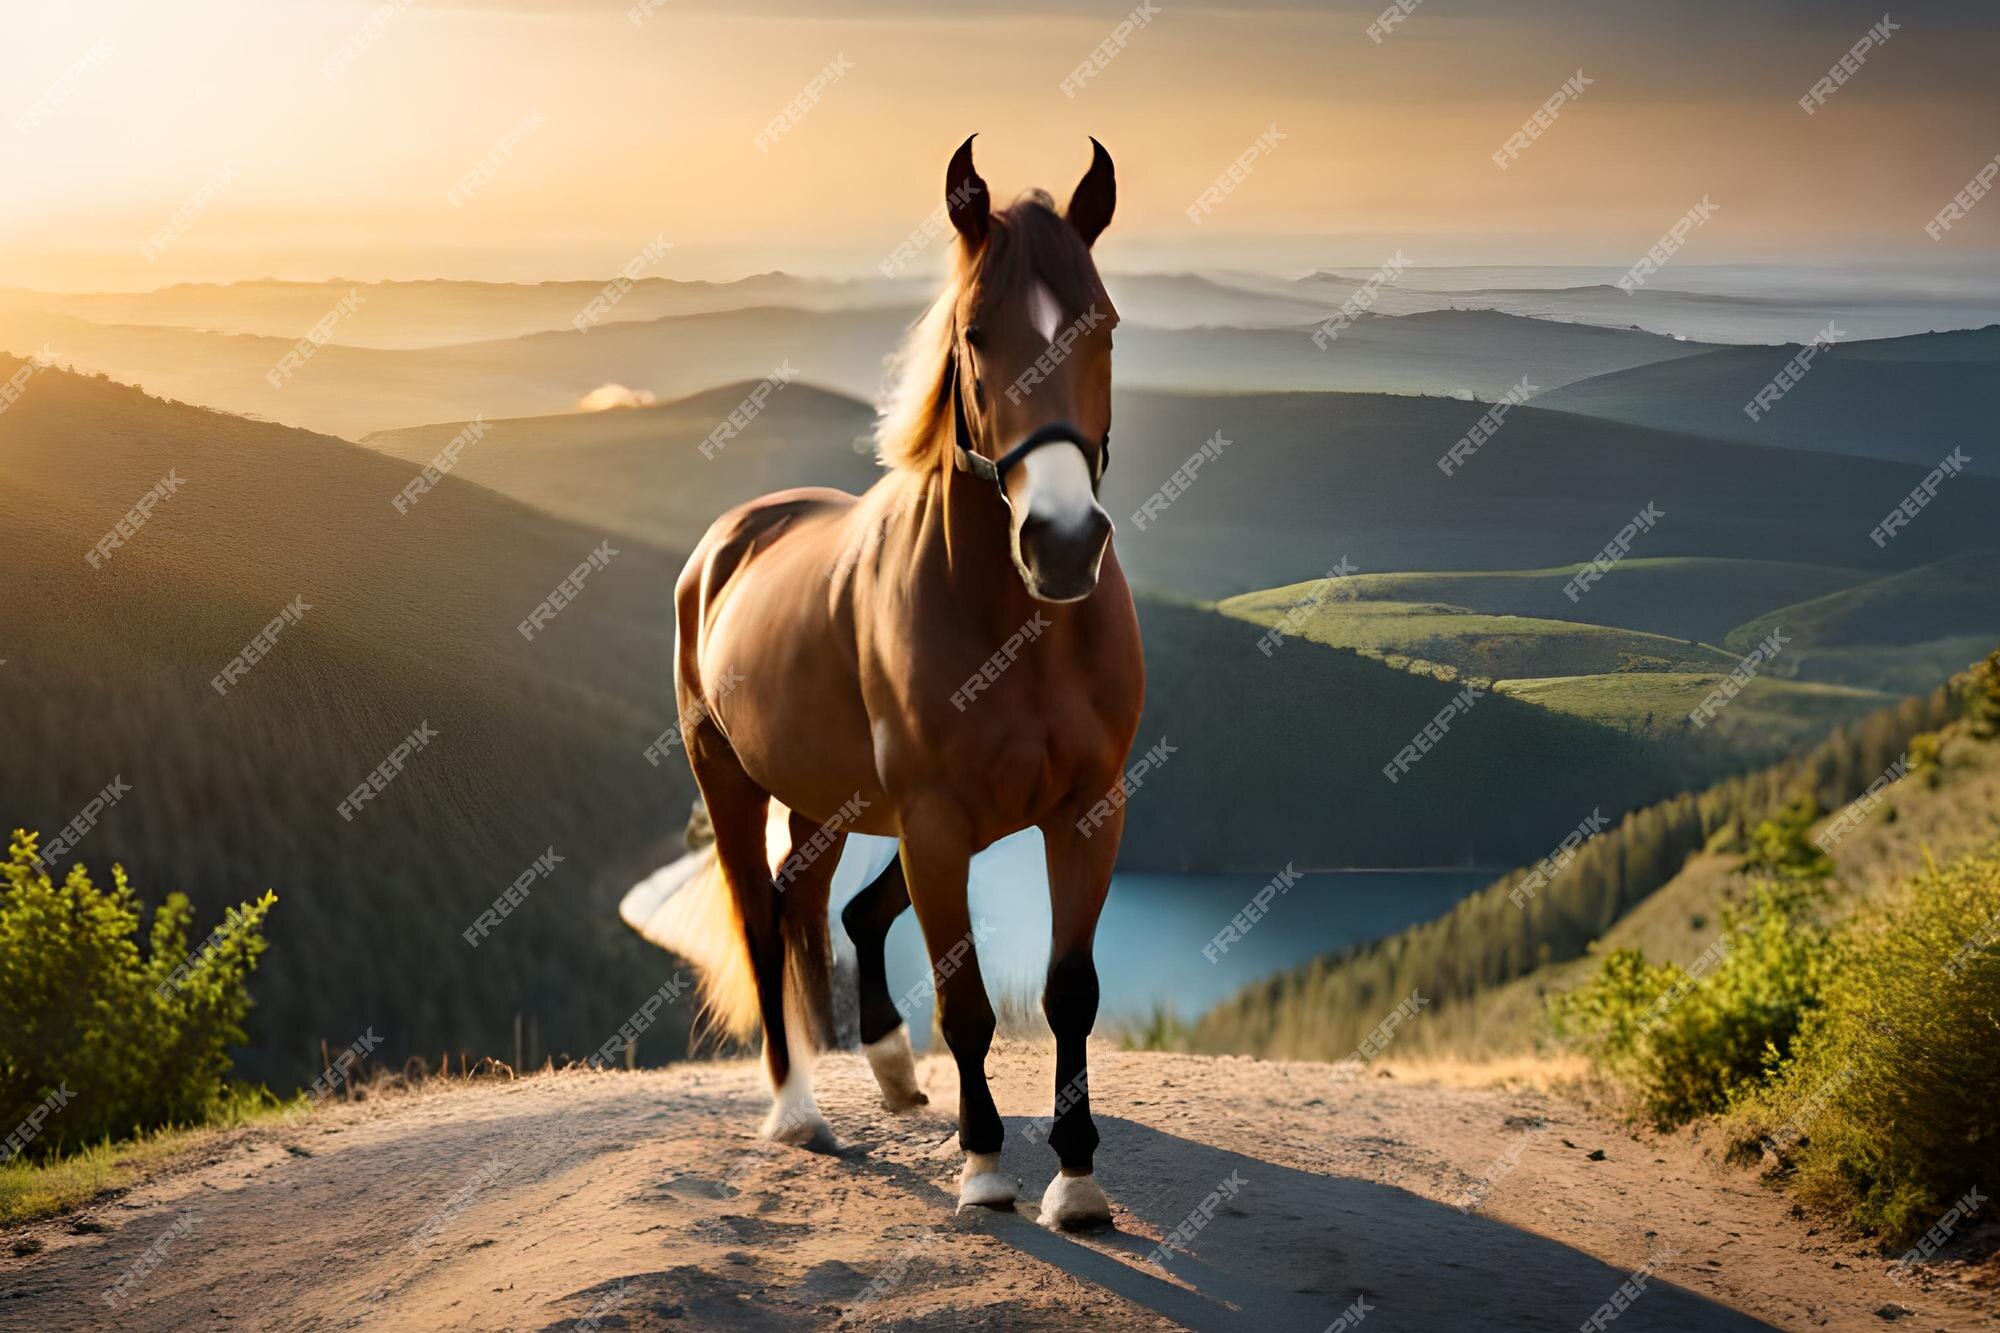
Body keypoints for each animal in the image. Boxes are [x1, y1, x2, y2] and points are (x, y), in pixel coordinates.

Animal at [632, 135, 1152, 1224]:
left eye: (1104, 326)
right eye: (975, 332)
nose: (1062, 544)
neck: (1017, 628)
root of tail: (725, 540)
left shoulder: (1087, 810)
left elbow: (1068, 991)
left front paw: (1077, 1177)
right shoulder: (936, 820)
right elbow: (965, 1003)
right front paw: (986, 1164)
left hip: (833, 804)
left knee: (824, 903)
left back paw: (890, 1069)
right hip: (737, 785)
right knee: (762, 918)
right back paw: (798, 1111)